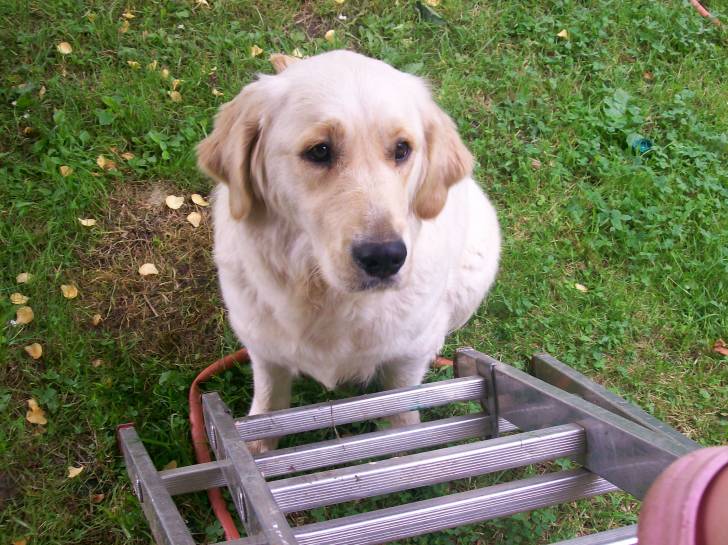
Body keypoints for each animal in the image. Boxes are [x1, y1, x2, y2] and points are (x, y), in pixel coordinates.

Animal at [196, 50, 500, 450]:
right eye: (320, 150)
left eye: (402, 149)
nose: (385, 257)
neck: (325, 294)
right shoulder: (263, 346)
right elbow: (268, 408)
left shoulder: (409, 353)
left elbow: (403, 410)